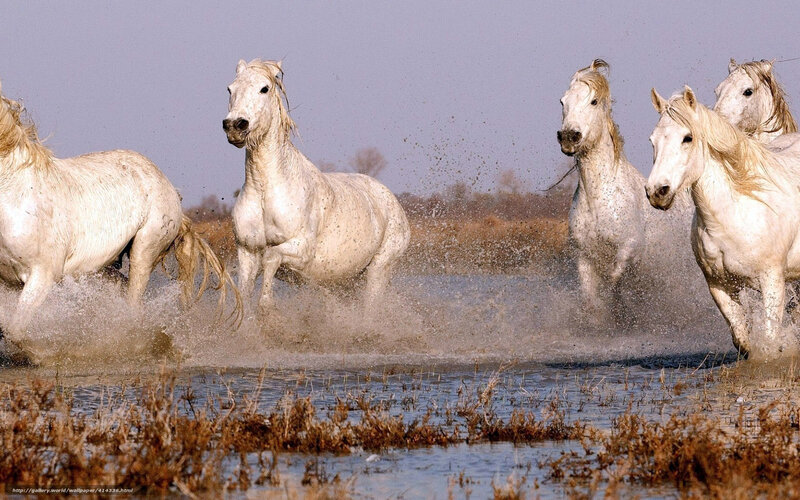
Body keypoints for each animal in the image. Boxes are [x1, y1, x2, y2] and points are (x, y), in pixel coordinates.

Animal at [0, 81, 241, 363]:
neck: (15, 194)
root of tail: (168, 185)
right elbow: (7, 328)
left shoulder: (43, 274)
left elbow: (15, 329)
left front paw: (43, 355)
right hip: (107, 265)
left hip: (144, 252)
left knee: (134, 307)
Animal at [222, 59, 410, 318]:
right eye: (230, 89)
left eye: (264, 89)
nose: (235, 125)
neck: (265, 191)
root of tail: (393, 202)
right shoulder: (247, 252)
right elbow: (245, 291)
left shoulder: (301, 250)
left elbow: (271, 256)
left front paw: (267, 306)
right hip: (347, 281)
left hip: (379, 270)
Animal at [557, 59, 691, 324]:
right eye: (562, 101)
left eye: (593, 101)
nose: (568, 137)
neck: (598, 198)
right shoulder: (584, 258)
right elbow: (590, 298)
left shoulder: (630, 248)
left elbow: (615, 279)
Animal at [647, 86, 800, 358]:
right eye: (653, 140)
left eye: (687, 138)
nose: (657, 191)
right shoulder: (719, 286)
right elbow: (742, 340)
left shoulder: (772, 280)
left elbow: (770, 338)